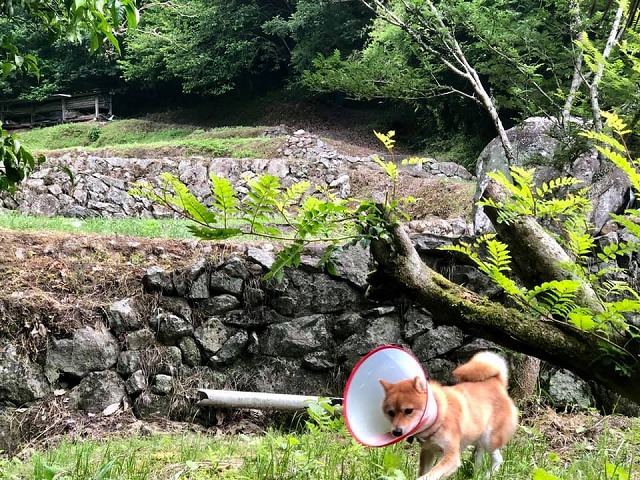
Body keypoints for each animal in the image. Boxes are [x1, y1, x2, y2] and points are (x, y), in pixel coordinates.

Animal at [380, 350, 520, 478]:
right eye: (391, 413)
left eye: (408, 410)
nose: (396, 432)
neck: (439, 418)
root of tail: (497, 382)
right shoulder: (427, 451)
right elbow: (424, 472)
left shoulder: (451, 457)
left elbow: (429, 475)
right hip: (476, 436)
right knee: (479, 456)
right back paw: (476, 474)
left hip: (489, 439)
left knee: (498, 459)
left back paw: (487, 475)